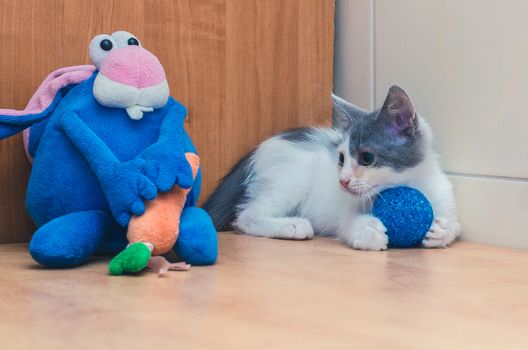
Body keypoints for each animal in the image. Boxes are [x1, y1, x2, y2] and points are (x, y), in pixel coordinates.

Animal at [204, 85, 460, 250]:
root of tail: (257, 150)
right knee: (247, 215)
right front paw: (366, 230)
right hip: (293, 176)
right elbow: (345, 222)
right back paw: (292, 225)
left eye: (367, 157)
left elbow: (456, 225)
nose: (343, 181)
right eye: (341, 158)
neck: (411, 183)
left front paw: (443, 230)